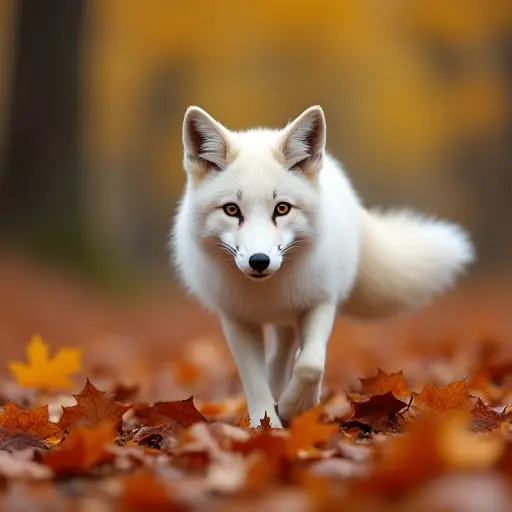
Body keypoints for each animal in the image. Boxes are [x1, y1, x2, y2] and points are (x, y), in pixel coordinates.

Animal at [170, 107, 474, 428]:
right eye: (231, 210)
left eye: (282, 208)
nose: (259, 261)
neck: (266, 292)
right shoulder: (236, 319)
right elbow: (254, 381)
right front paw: (266, 425)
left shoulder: (322, 301)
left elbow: (310, 365)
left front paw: (294, 407)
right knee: (277, 357)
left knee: (284, 355)